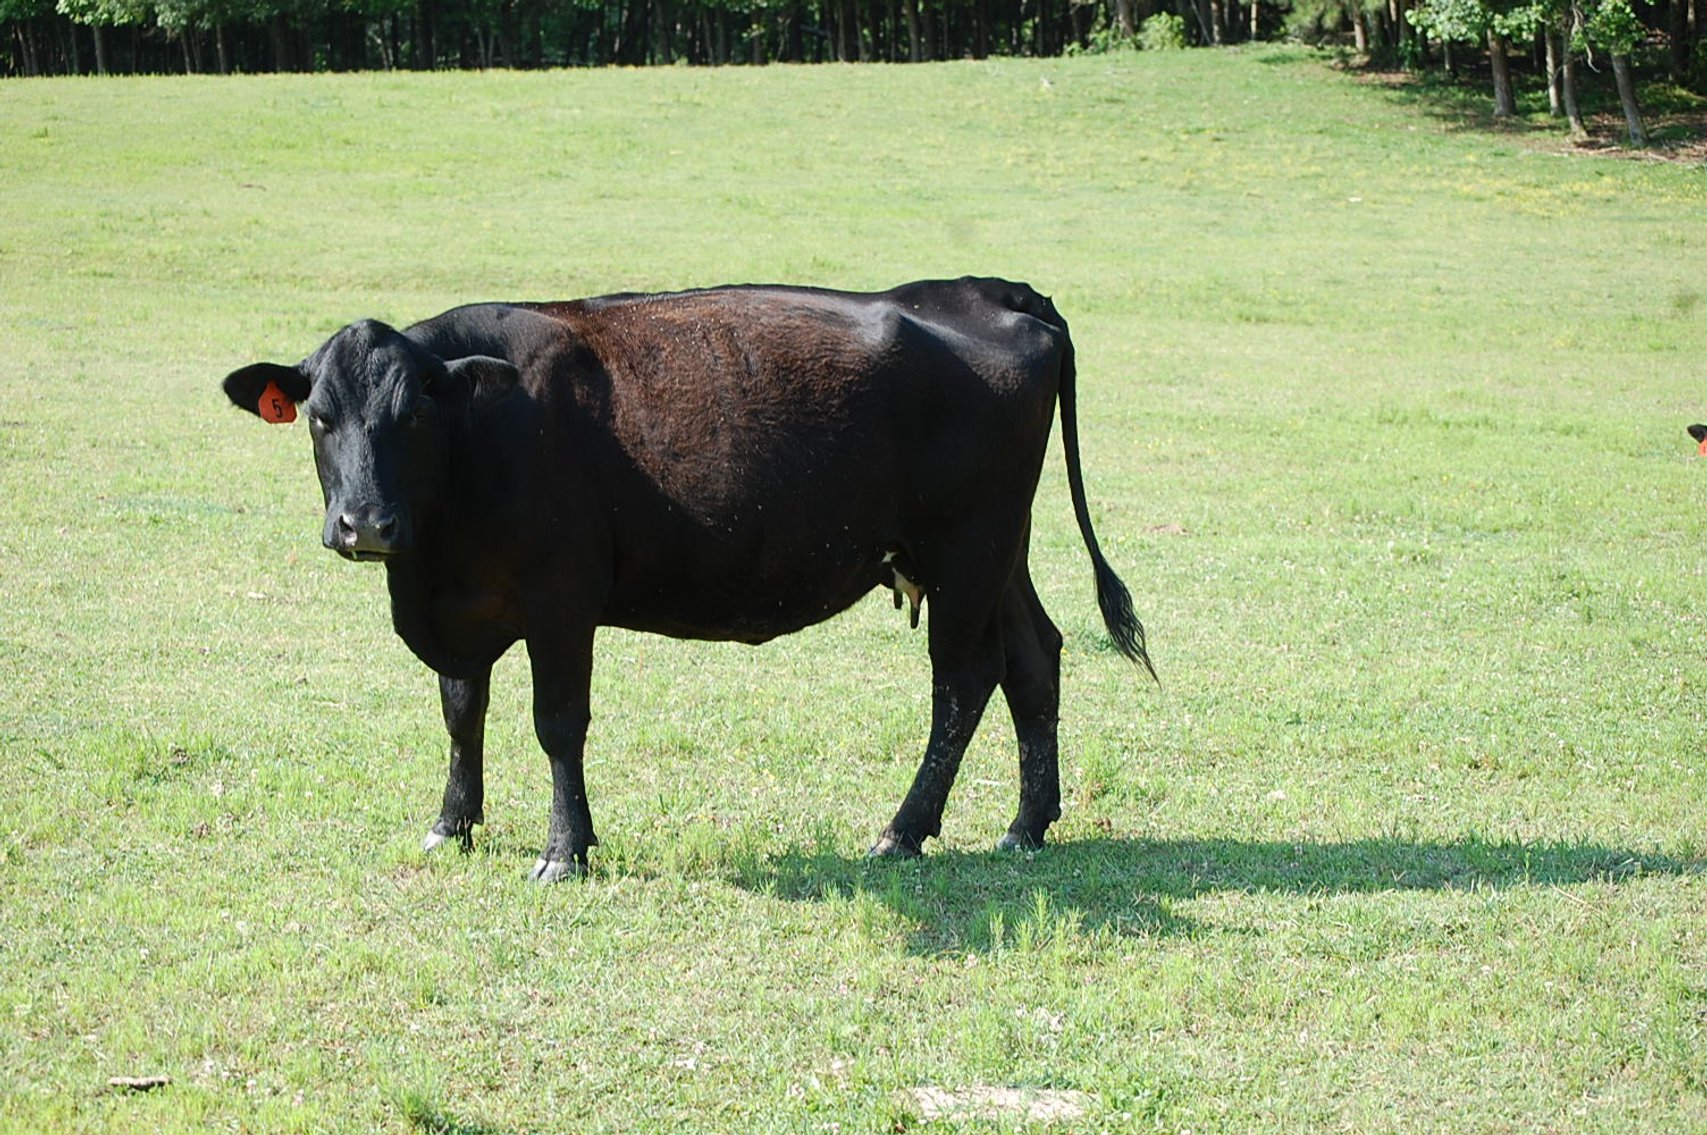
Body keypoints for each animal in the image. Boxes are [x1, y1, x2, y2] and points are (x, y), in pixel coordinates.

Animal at [222, 277, 1153, 881]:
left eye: (415, 414)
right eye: (319, 416)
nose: (365, 524)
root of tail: (992, 291)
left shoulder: (561, 602)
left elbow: (557, 724)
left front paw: (564, 849)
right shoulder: (460, 606)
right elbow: (460, 714)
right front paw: (452, 825)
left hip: (966, 547)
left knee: (962, 682)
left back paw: (903, 830)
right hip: (997, 553)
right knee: (1033, 659)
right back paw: (1026, 824)